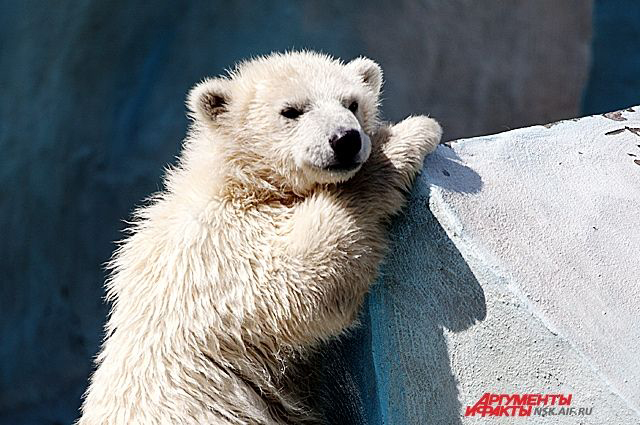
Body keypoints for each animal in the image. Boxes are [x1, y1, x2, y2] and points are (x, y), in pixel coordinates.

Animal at [77, 51, 442, 422]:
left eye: (352, 103)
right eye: (291, 110)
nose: (346, 139)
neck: (239, 182)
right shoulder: (220, 250)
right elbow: (298, 280)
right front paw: (407, 136)